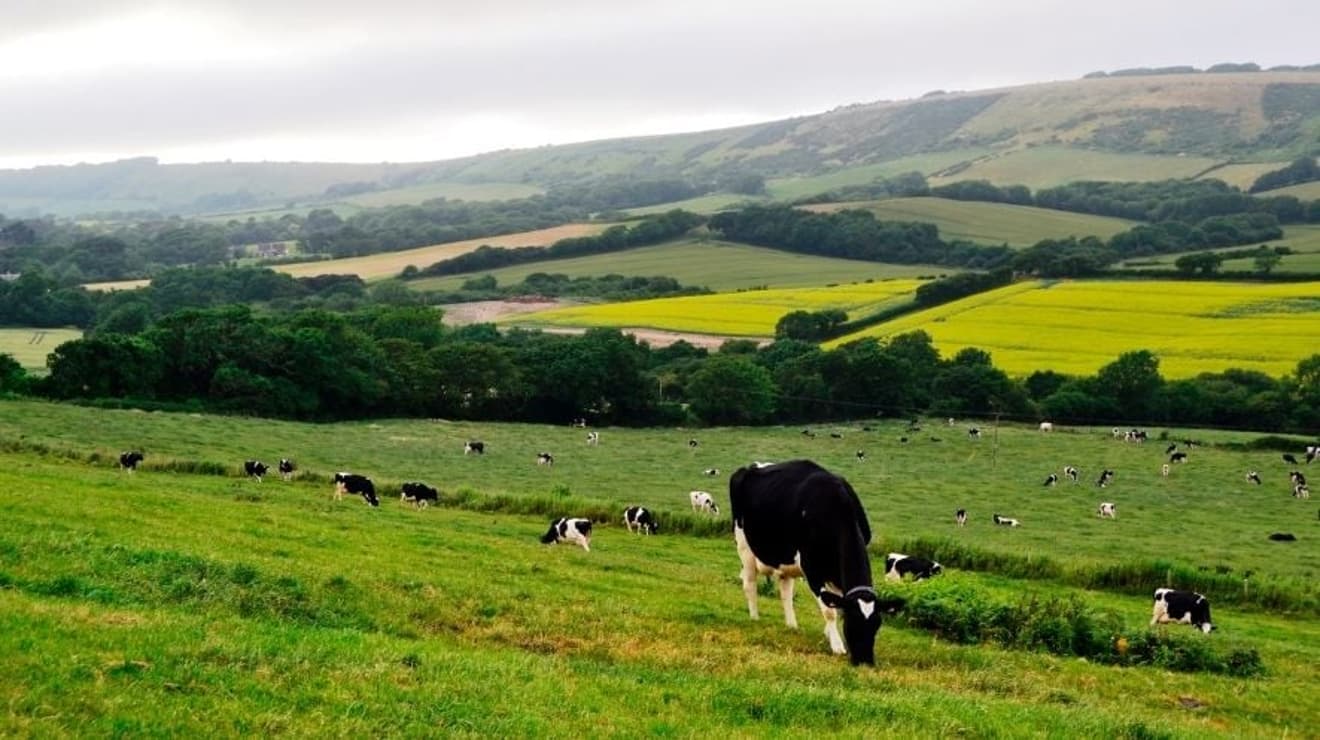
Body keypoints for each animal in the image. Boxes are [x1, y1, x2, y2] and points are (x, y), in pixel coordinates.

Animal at [730, 460, 904, 665]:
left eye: (877, 624)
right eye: (852, 623)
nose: (865, 662)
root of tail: (753, 466)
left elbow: (836, 605)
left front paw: (830, 634)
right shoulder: (812, 570)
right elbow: (829, 610)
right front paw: (837, 645)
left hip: (785, 560)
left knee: (785, 592)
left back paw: (791, 625)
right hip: (744, 547)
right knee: (750, 584)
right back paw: (755, 617)